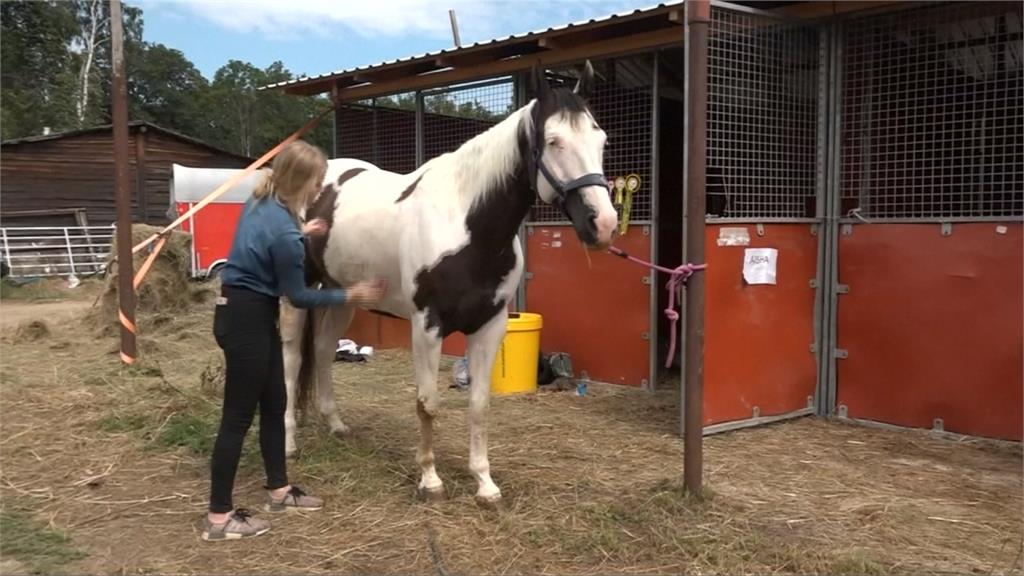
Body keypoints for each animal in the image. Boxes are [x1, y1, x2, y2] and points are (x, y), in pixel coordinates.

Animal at [280, 60, 614, 504]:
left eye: (601, 140)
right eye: (554, 140)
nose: (603, 224)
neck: (468, 224)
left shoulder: (490, 326)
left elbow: (479, 405)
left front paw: (484, 483)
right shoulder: (427, 326)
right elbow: (428, 403)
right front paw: (430, 479)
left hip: (343, 297)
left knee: (321, 350)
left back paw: (335, 424)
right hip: (297, 296)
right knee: (291, 359)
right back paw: (288, 443)